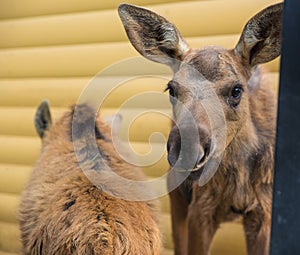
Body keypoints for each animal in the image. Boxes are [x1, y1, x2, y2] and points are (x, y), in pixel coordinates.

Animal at [118, 2, 282, 255]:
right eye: (172, 88)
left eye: (236, 90)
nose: (186, 150)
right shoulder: (200, 208)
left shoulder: (264, 211)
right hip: (176, 193)